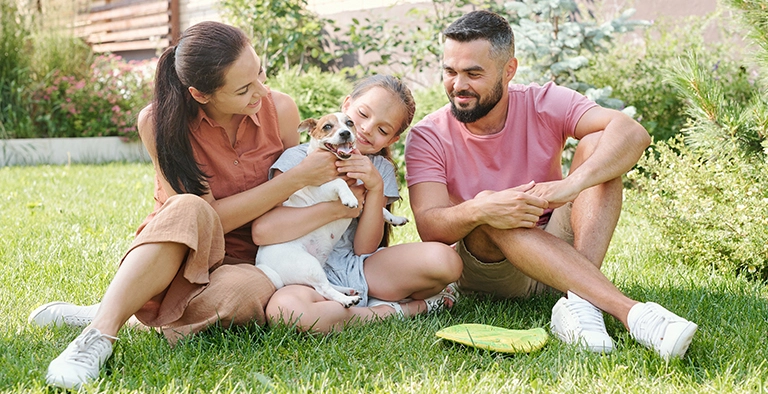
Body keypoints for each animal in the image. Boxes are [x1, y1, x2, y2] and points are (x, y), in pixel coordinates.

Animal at [256, 112, 412, 306]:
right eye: (327, 127)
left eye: (350, 123)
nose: (345, 133)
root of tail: (263, 265)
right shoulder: (322, 189)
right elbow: (339, 182)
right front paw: (349, 198)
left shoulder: (363, 201)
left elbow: (379, 209)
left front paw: (395, 218)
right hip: (307, 264)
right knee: (323, 289)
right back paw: (347, 300)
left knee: (325, 284)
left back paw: (347, 290)